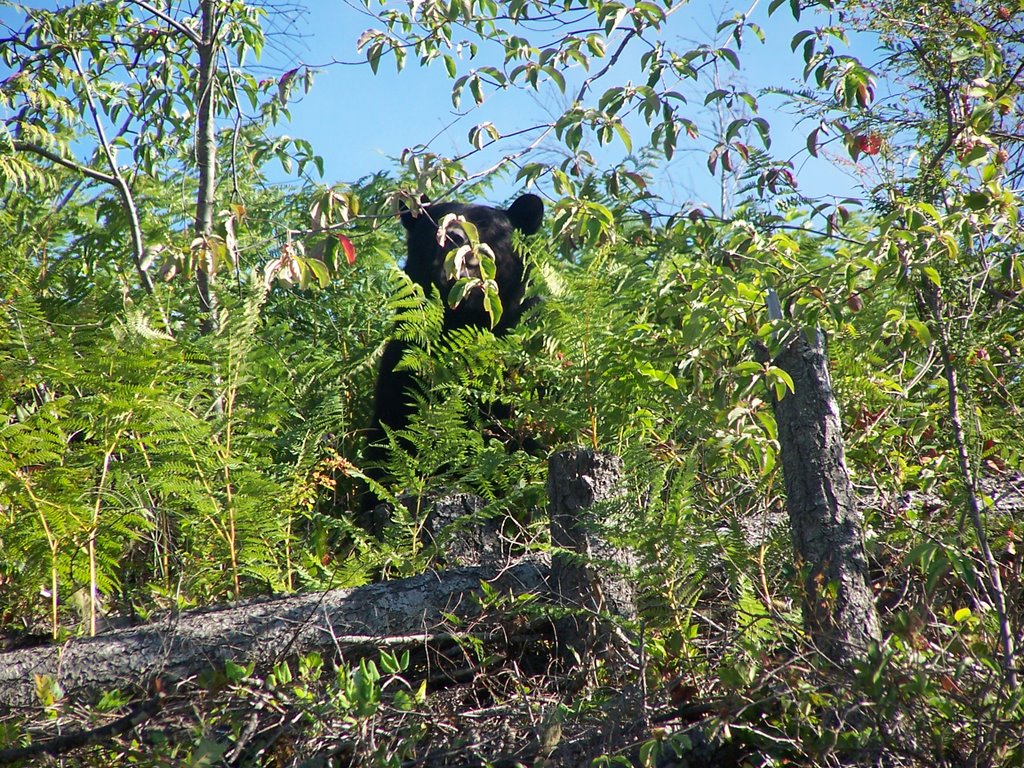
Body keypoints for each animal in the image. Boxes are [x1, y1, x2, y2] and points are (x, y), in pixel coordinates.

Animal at [366, 192, 544, 481]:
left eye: (485, 224)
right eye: (437, 222)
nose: (454, 237)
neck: (463, 317)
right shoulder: (404, 363)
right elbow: (391, 427)